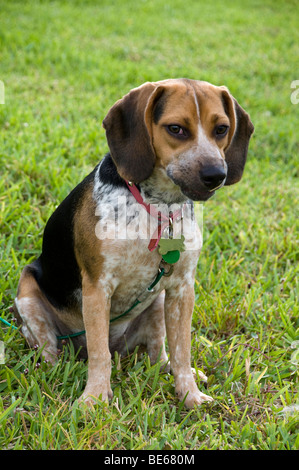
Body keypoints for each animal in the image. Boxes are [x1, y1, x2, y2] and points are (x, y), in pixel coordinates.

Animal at [13, 80, 253, 408]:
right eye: (176, 128)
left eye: (221, 129)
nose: (216, 175)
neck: (158, 207)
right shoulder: (97, 287)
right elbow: (100, 355)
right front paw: (95, 399)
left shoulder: (183, 289)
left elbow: (182, 351)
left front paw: (189, 395)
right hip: (27, 295)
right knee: (52, 350)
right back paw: (50, 369)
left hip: (159, 302)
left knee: (159, 355)